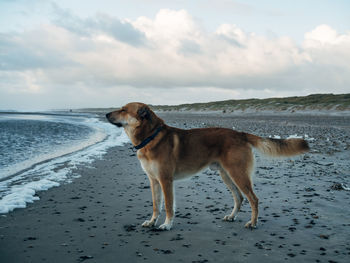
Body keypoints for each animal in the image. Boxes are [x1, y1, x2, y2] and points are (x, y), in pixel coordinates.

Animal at [105, 103, 308, 231]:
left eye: (123, 110)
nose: (105, 114)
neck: (150, 137)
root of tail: (240, 134)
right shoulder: (154, 181)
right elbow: (157, 205)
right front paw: (152, 221)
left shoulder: (165, 180)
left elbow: (169, 206)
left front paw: (167, 225)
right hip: (227, 175)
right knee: (240, 198)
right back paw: (232, 216)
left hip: (238, 174)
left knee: (253, 199)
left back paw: (253, 223)